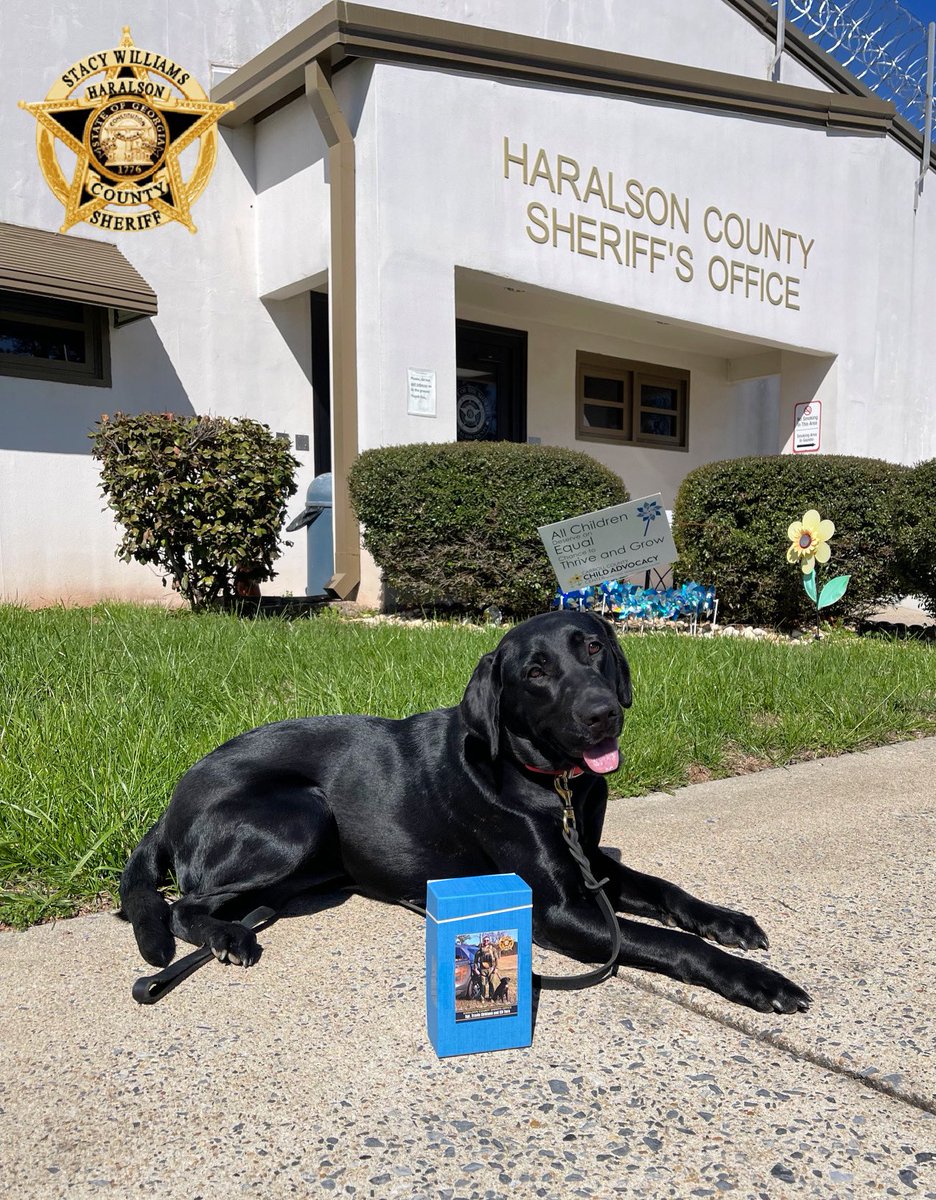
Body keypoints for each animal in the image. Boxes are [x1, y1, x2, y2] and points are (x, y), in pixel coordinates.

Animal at [122, 609, 811, 1012]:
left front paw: (729, 922)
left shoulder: (591, 864)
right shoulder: (561, 911)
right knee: (184, 905)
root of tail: (172, 803)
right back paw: (228, 937)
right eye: (536, 672)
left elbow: (669, 894)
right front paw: (759, 981)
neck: (553, 783)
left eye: (593, 648)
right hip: (302, 815)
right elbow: (665, 939)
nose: (603, 714)